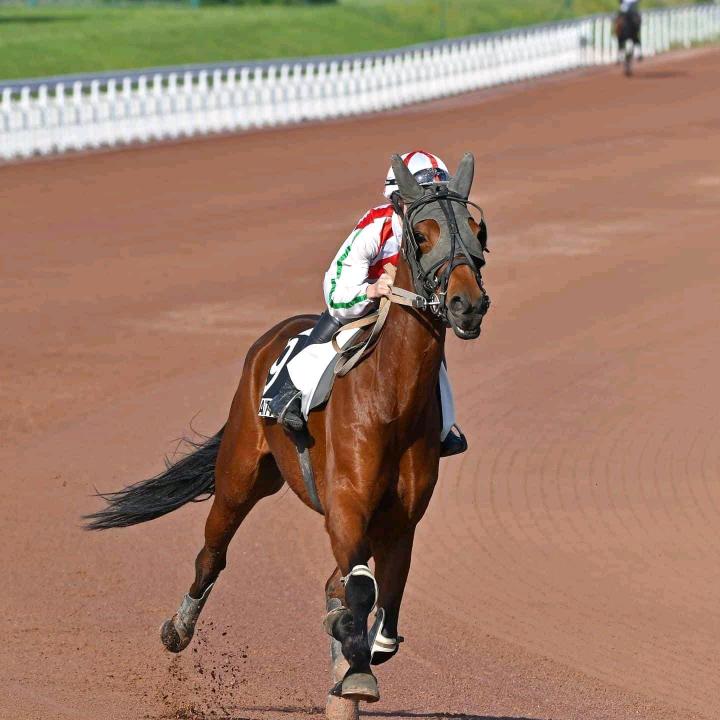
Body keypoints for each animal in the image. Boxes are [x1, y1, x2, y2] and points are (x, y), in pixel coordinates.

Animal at [84, 153, 491, 710]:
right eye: (421, 233)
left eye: (476, 227)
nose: (466, 304)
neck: (392, 400)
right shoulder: (346, 505)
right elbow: (360, 588)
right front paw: (356, 669)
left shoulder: (402, 518)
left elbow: (384, 593)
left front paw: (362, 650)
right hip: (240, 474)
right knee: (211, 555)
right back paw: (178, 629)